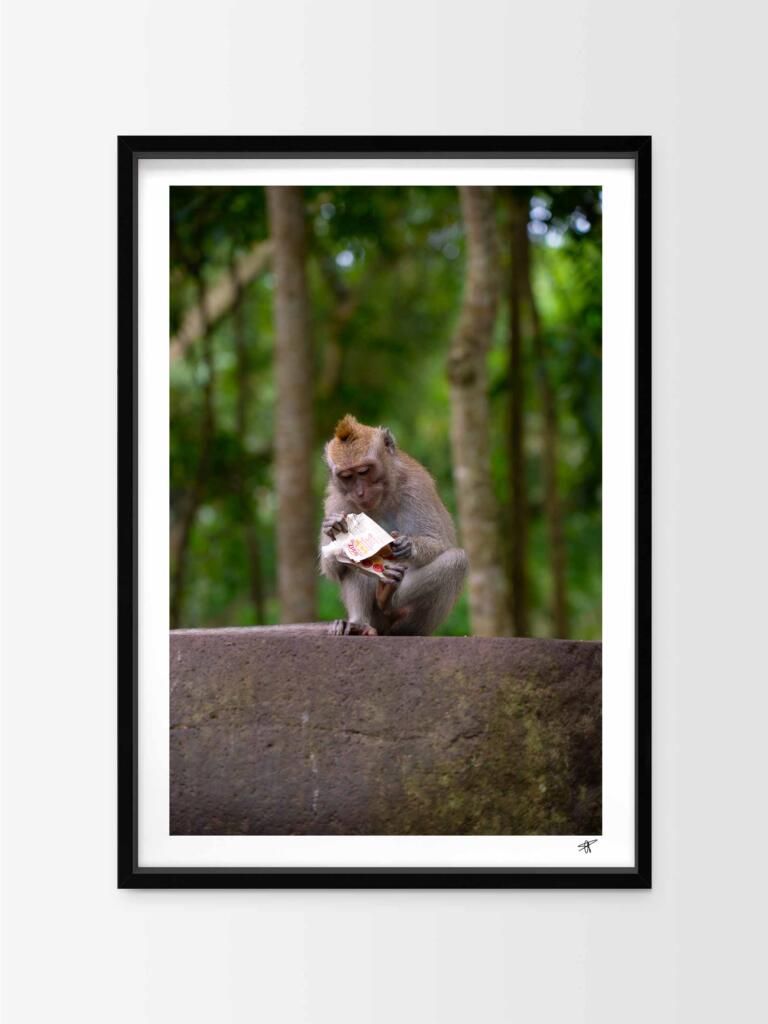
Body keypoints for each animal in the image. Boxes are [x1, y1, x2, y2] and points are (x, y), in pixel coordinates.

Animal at [320, 414, 468, 636]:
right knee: (352, 567)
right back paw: (358, 624)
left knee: (457, 561)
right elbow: (332, 565)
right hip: (376, 619)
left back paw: (393, 606)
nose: (360, 493)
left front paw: (408, 545)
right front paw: (333, 527)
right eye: (347, 476)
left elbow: (439, 542)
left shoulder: (416, 487)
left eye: (364, 471)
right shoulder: (338, 501)